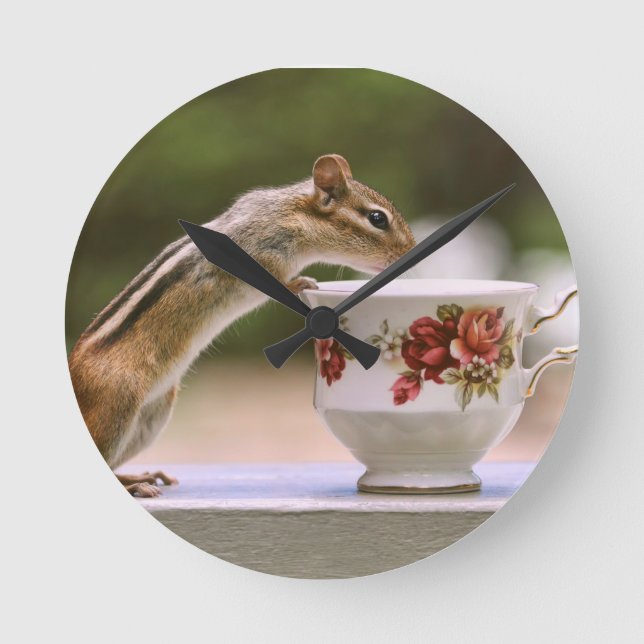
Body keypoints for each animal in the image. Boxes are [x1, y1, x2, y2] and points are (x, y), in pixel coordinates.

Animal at [69, 154, 416, 497]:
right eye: (377, 218)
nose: (411, 252)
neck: (295, 215)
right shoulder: (257, 249)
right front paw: (302, 283)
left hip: (154, 413)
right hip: (117, 406)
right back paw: (135, 483)